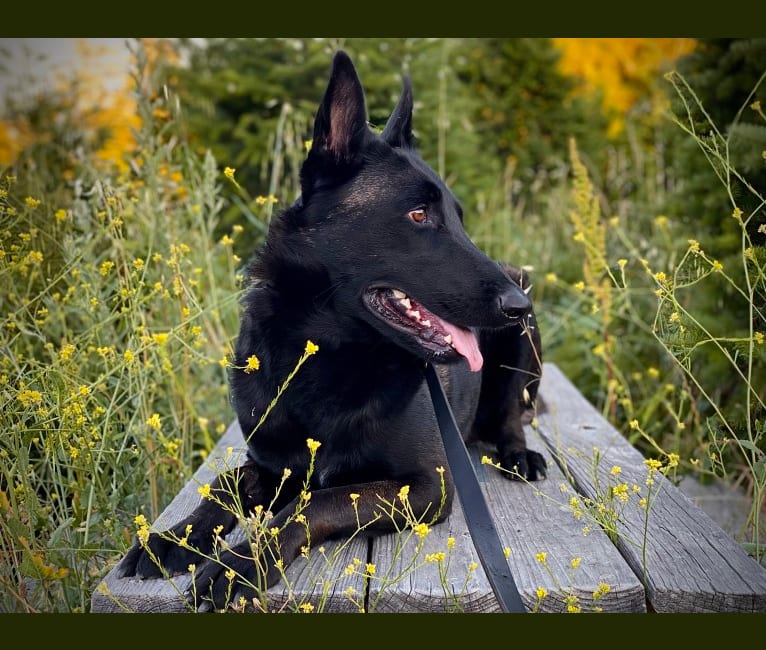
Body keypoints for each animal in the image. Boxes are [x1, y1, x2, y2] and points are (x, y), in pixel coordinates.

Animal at [121, 50, 544, 608]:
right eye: (418, 214)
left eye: (459, 218)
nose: (519, 303)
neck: (326, 357)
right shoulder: (271, 463)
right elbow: (226, 484)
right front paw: (172, 538)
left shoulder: (424, 485)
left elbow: (315, 502)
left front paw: (239, 563)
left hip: (522, 349)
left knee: (511, 415)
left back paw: (520, 454)